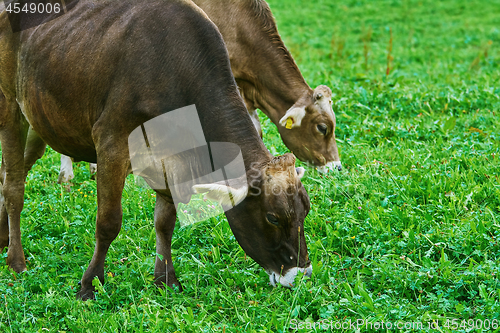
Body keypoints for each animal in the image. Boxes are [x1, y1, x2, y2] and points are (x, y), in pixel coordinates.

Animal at [0, 0, 310, 300]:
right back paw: (16, 261)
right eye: (273, 217)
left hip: (39, 119)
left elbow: (164, 223)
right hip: (10, 107)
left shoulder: (172, 162)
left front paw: (166, 280)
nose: (301, 274)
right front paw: (90, 284)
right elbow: (108, 222)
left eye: (306, 209)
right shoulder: (111, 142)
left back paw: (3, 237)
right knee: (14, 187)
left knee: (9, 174)